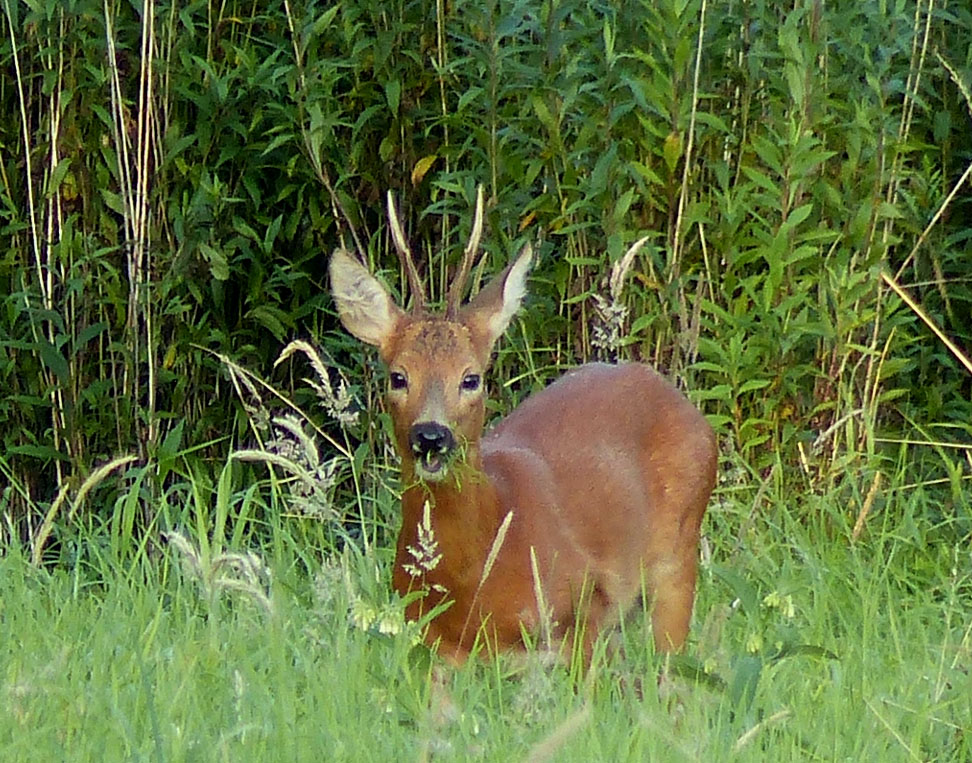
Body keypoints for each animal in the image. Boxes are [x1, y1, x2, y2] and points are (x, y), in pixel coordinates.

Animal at [330, 190, 716, 664]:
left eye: (471, 378)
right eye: (398, 377)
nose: (430, 436)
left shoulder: (586, 613)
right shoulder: (433, 646)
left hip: (678, 557)